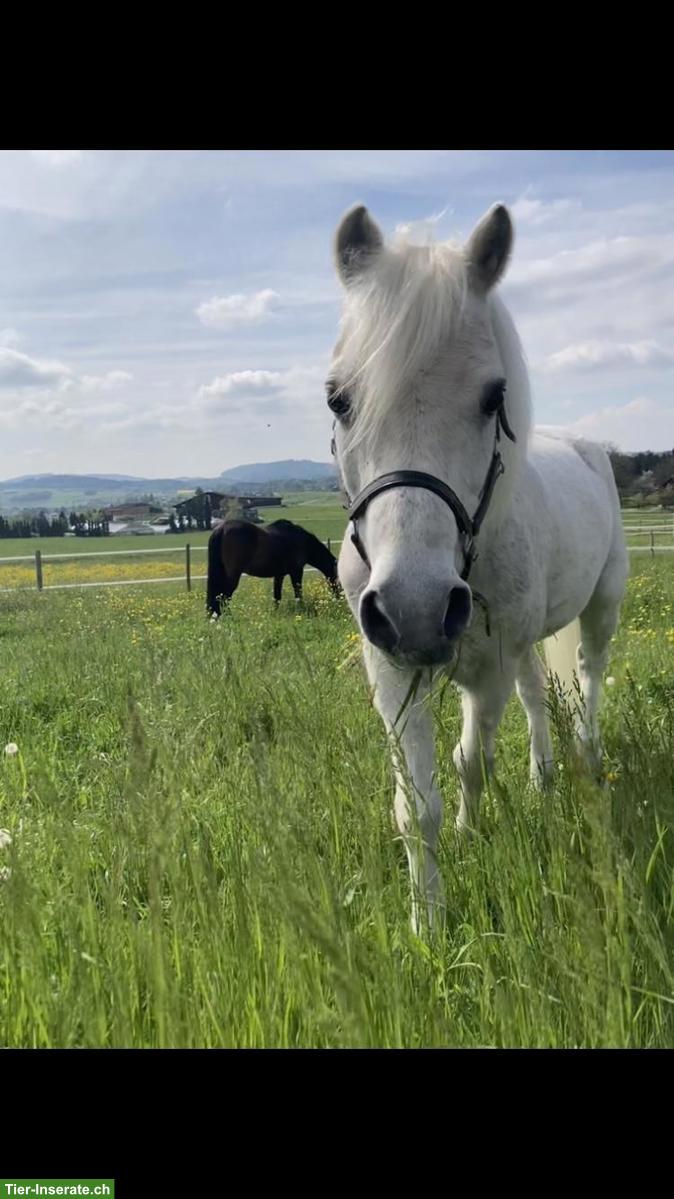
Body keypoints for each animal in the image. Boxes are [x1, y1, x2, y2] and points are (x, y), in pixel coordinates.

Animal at [206, 518, 339, 616]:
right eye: (338, 577)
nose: (339, 598)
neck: (303, 541)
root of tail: (222, 528)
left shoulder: (279, 575)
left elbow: (277, 597)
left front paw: (275, 613)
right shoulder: (296, 571)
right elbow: (298, 593)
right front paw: (301, 609)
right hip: (233, 575)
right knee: (225, 595)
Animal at [328, 201, 628, 933]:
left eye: (495, 398)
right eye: (338, 399)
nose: (414, 606)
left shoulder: (485, 667)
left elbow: (470, 763)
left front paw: (469, 836)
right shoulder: (392, 667)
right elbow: (416, 805)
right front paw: (427, 923)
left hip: (601, 605)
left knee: (588, 675)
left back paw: (587, 756)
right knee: (536, 696)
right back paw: (543, 779)